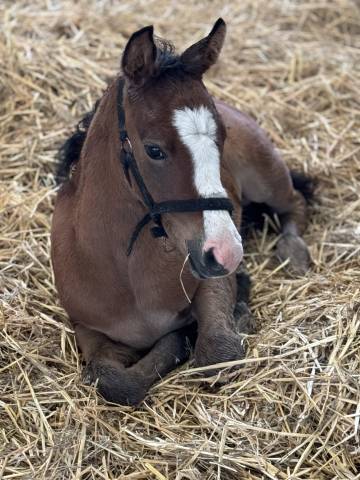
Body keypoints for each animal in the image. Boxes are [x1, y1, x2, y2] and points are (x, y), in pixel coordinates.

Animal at [51, 19, 312, 404]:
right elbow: (111, 381)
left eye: (222, 137)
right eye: (154, 150)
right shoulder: (88, 329)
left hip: (267, 178)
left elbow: (217, 352)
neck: (128, 273)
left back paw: (293, 254)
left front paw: (225, 316)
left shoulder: (213, 280)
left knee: (294, 204)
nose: (227, 252)